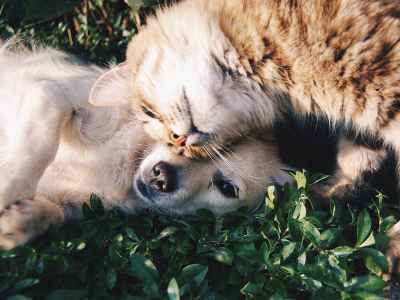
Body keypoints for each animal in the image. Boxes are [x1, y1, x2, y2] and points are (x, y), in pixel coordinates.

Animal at [0, 40, 290, 248]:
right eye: (177, 137)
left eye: (227, 188)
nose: (162, 177)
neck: (128, 161)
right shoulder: (47, 91)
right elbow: (40, 139)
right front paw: (9, 187)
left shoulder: (80, 204)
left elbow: (55, 214)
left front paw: (18, 223)